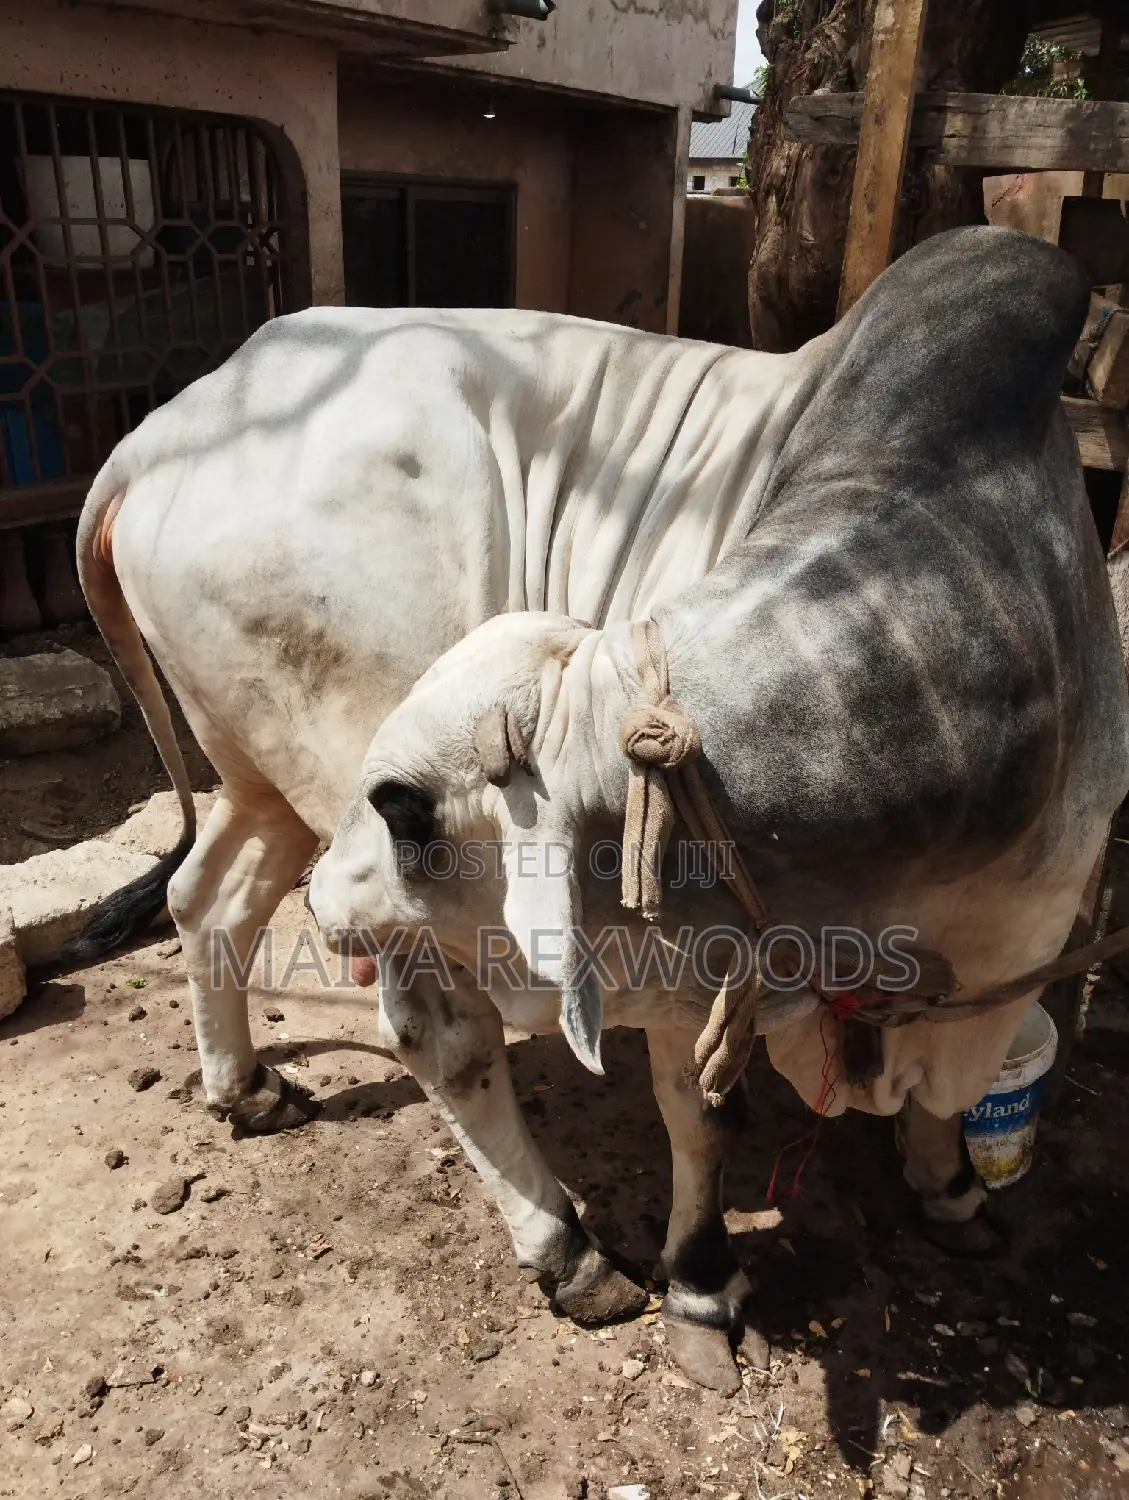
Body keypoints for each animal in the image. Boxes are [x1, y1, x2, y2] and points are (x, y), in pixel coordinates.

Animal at [72, 225, 1117, 1395]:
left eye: (406, 807)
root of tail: (166, 427)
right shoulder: (688, 967)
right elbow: (705, 1113)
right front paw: (700, 1285)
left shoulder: (1008, 949)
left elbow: (946, 1097)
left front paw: (948, 1190)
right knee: (436, 1031)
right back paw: (565, 1251)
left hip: (267, 783)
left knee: (206, 898)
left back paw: (245, 1087)